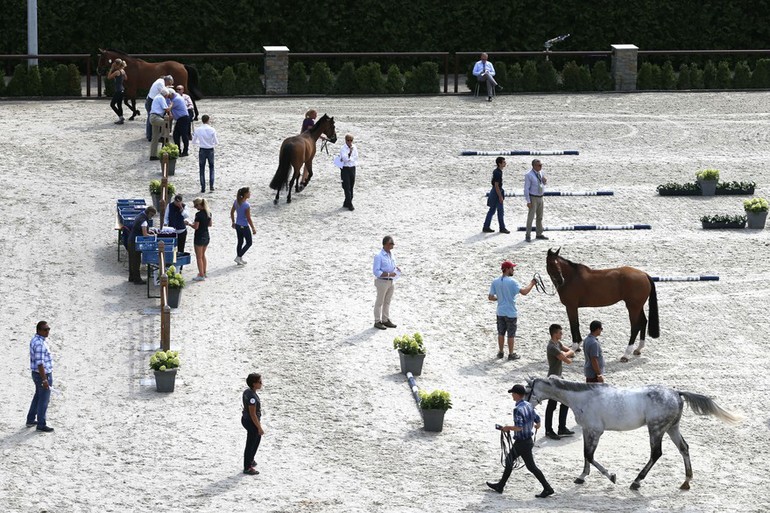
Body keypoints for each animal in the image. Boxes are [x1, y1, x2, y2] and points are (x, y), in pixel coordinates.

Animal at [524, 378, 736, 490]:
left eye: (527, 391)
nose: (524, 405)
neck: (584, 398)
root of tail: (677, 393)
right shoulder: (587, 431)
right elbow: (585, 455)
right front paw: (582, 476)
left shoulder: (596, 432)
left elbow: (590, 456)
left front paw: (611, 476)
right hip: (671, 428)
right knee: (684, 448)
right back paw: (686, 482)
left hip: (656, 429)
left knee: (656, 454)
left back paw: (636, 481)